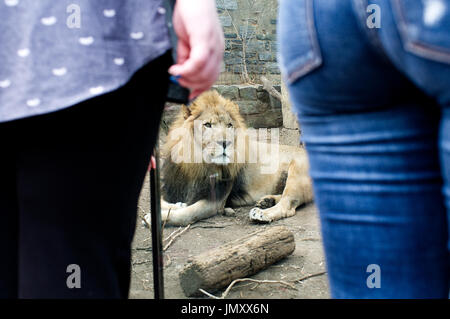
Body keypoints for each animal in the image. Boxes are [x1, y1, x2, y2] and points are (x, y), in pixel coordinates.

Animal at [159, 89, 312, 228]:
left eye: (229, 125)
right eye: (207, 125)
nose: (226, 143)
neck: (196, 164)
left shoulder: (215, 201)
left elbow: (186, 214)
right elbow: (163, 201)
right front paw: (178, 204)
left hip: (296, 173)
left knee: (288, 205)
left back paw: (262, 213)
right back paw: (266, 201)